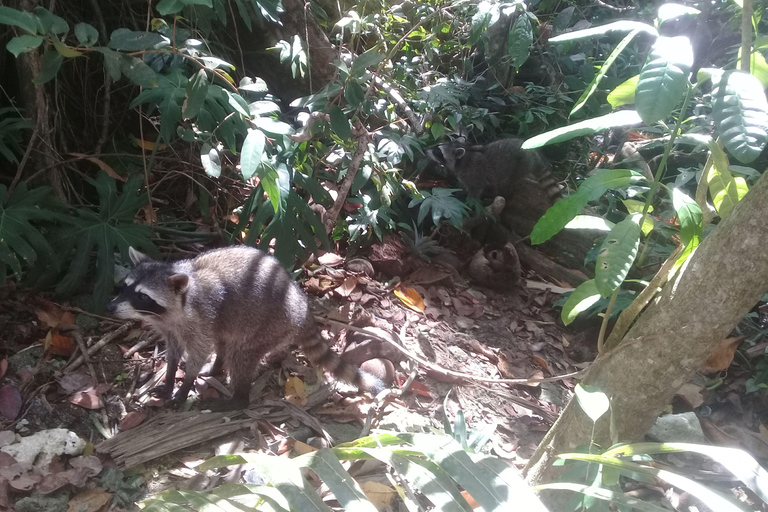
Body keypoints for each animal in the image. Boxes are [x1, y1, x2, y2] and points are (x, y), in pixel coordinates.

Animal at [106, 246, 384, 410]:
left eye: (142, 296)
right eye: (125, 287)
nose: (110, 307)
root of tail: (302, 304)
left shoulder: (200, 318)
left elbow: (199, 351)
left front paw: (186, 383)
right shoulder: (171, 327)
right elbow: (174, 351)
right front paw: (171, 375)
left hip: (270, 324)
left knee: (240, 354)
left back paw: (237, 399)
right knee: (225, 342)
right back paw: (217, 368)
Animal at [424, 137, 560, 203]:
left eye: (438, 152)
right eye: (438, 146)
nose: (426, 149)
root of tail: (534, 155)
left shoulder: (473, 174)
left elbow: (475, 190)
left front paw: (469, 201)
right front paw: (459, 190)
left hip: (520, 166)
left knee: (507, 183)